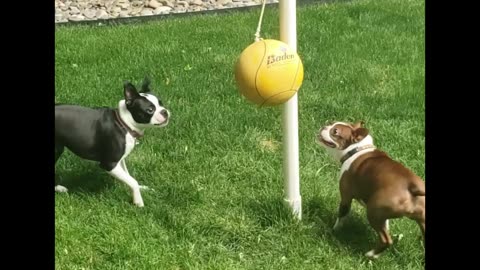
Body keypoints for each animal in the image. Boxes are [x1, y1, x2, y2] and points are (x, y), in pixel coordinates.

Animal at [316, 121, 426, 258]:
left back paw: (371, 254)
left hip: (373, 211)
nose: (324, 126)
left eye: (335, 132)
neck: (356, 149)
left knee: (386, 240)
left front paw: (334, 230)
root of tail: (412, 186)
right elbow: (386, 224)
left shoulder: (346, 197)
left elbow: (341, 215)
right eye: (330, 123)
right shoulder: (383, 216)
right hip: (420, 219)